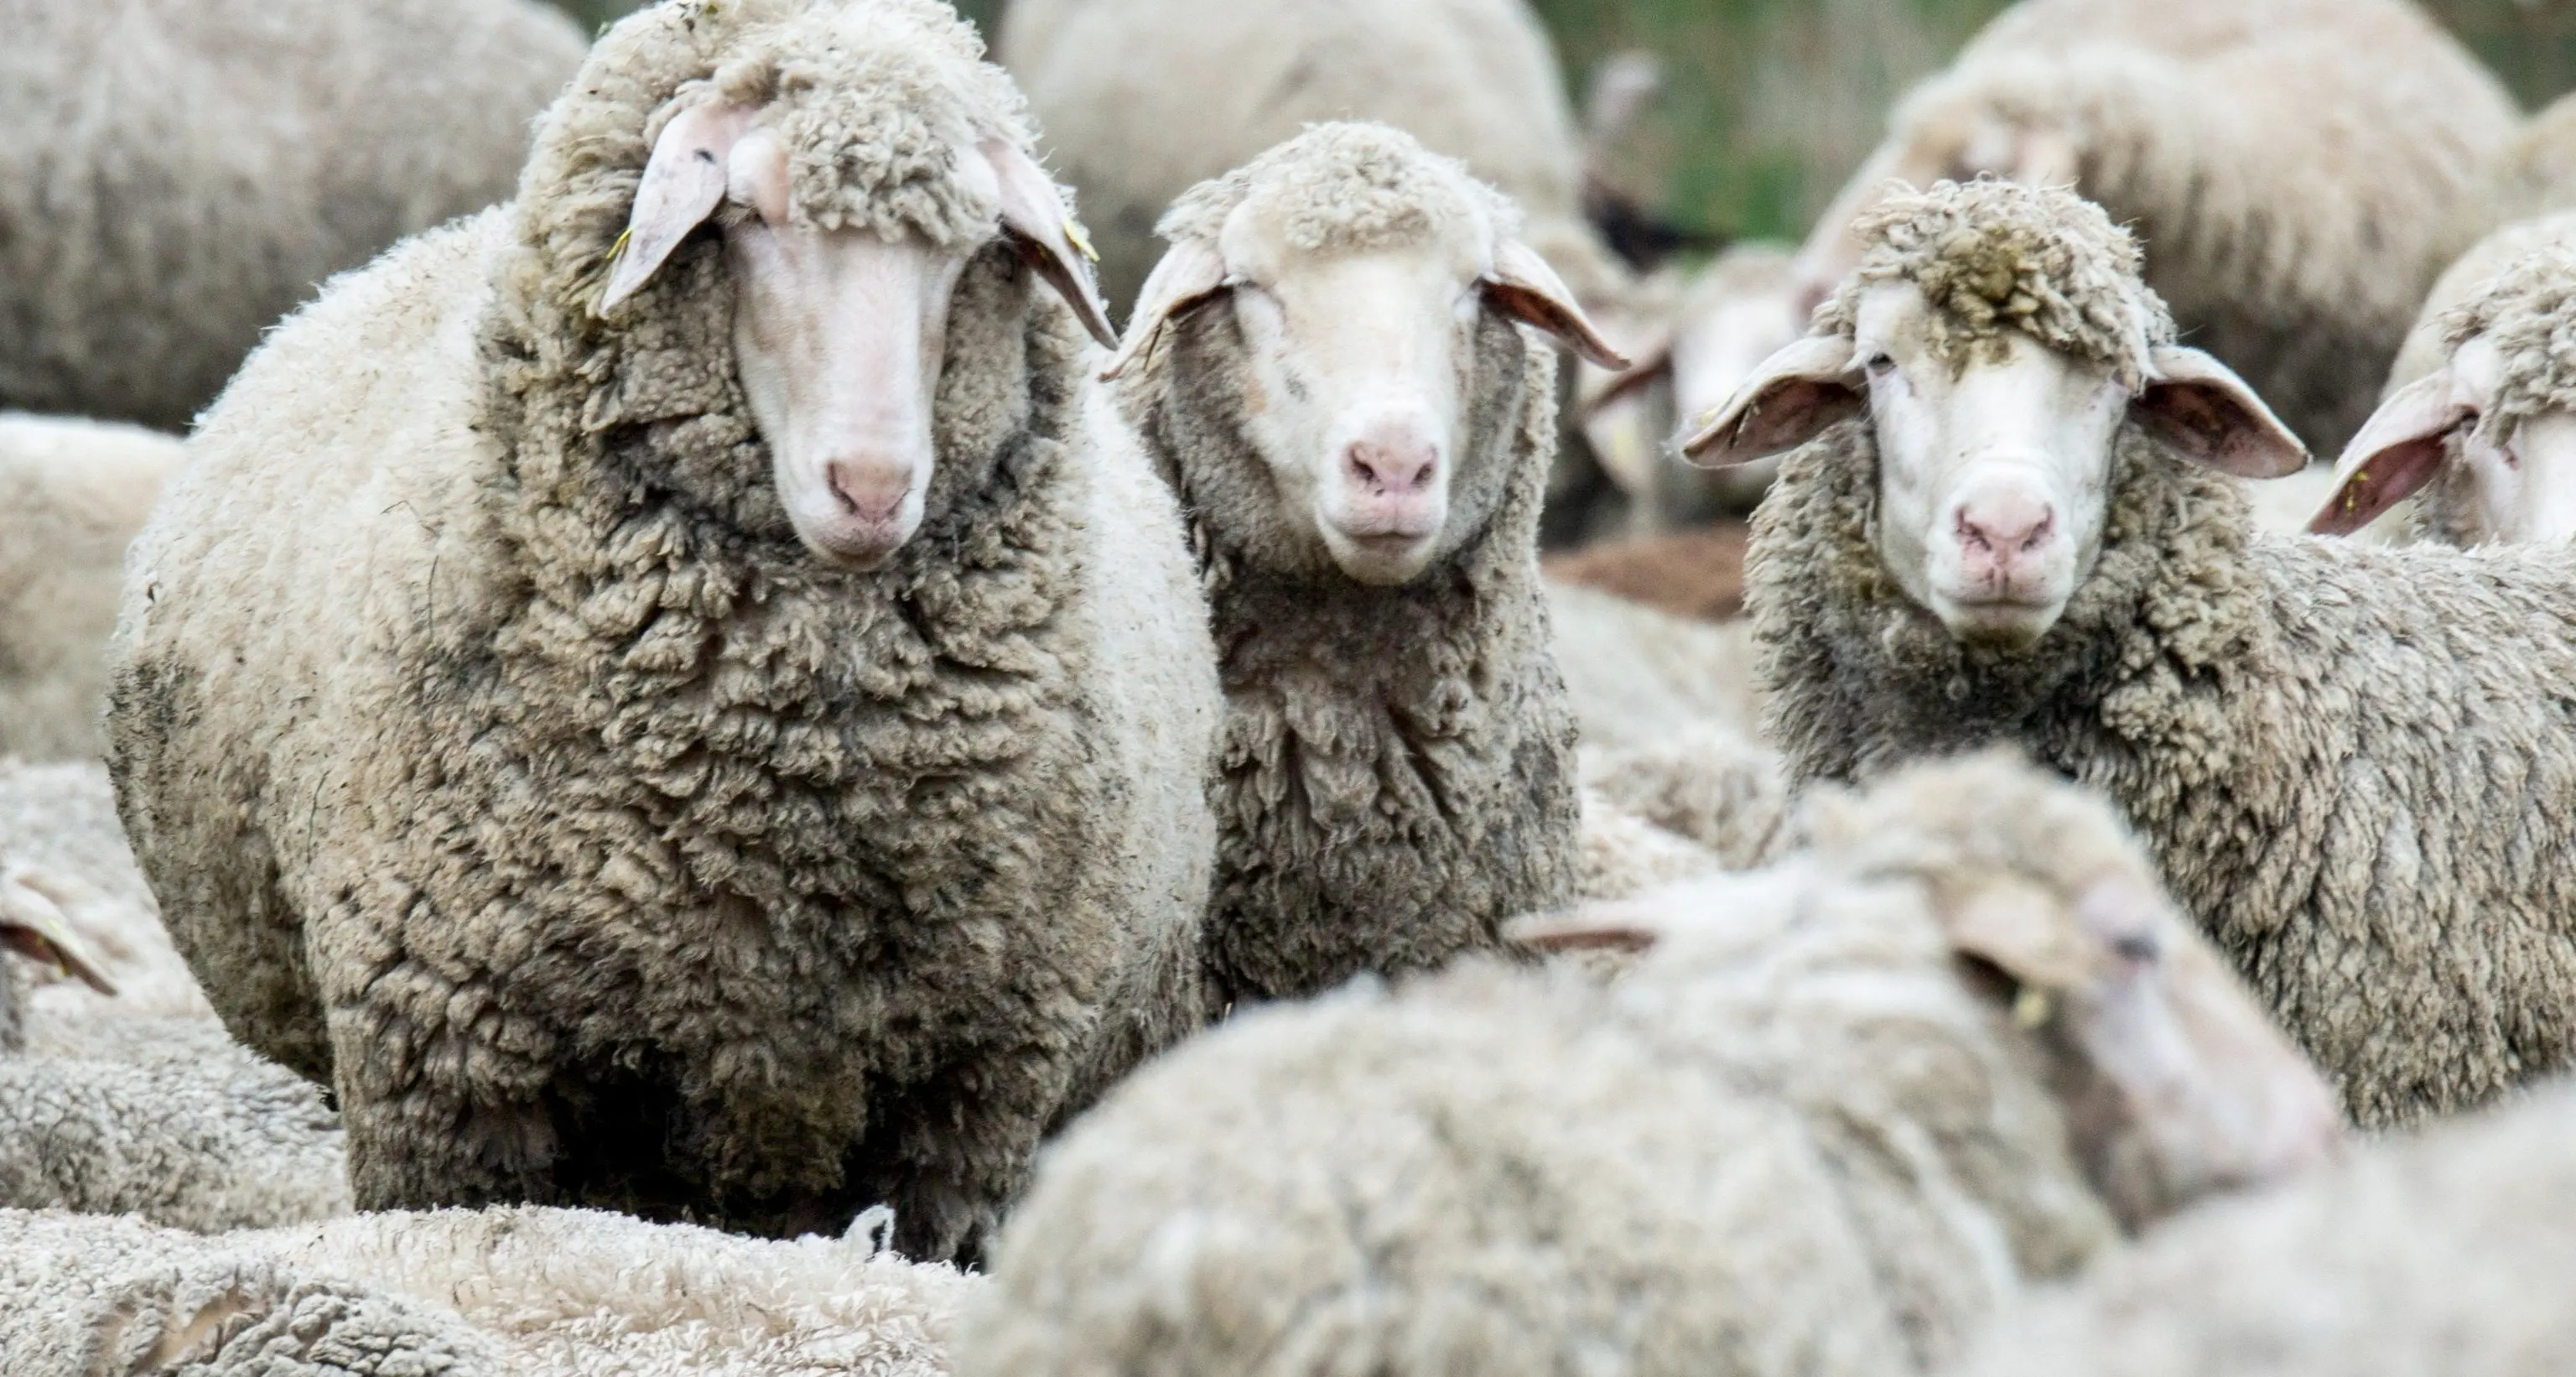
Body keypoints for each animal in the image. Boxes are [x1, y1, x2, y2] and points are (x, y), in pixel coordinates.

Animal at [103, 0, 1220, 1262]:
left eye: (968, 247)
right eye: (751, 215)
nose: (873, 487)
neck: (789, 784)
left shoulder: (970, 1095)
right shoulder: (443, 1060)